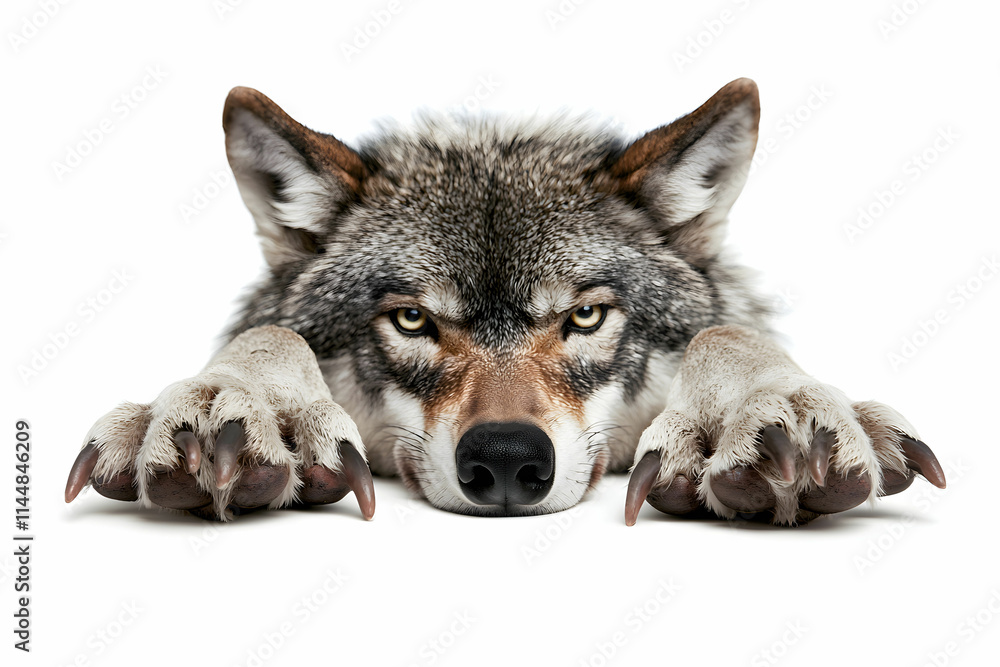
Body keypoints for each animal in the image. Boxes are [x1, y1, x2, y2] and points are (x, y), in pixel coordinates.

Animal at [65, 79, 945, 525]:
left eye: (584, 317)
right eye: (413, 319)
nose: (508, 460)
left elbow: (724, 336)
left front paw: (775, 406)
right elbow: (272, 336)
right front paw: (227, 399)